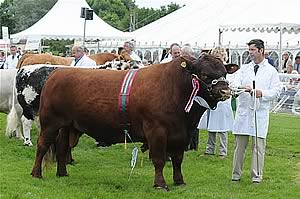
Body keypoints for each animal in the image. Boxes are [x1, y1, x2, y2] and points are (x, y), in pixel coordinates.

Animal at [31, 53, 231, 190]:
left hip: (67, 125)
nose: (225, 91)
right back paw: (36, 174)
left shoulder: (181, 134)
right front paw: (160, 184)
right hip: (50, 123)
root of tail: (56, 73)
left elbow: (177, 159)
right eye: (204, 74)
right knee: (42, 146)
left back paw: (62, 173)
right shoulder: (156, 131)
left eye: (224, 73)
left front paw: (179, 181)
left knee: (62, 148)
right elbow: (159, 159)